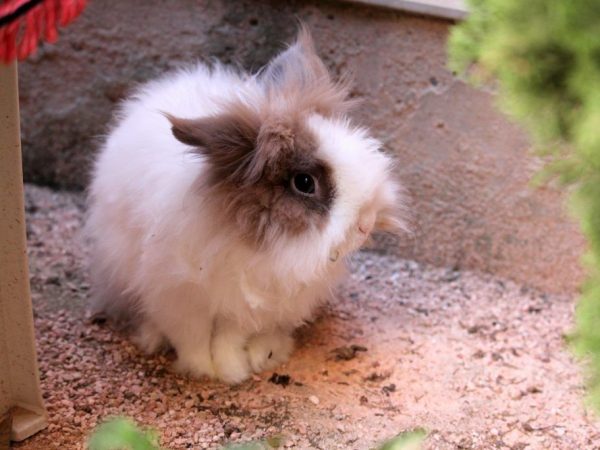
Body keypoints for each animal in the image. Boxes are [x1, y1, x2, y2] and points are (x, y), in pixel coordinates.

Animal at [86, 25, 406, 384]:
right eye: (304, 183)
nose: (366, 224)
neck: (253, 239)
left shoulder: (247, 306)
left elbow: (229, 338)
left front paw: (232, 369)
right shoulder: (178, 297)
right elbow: (191, 337)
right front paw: (203, 369)